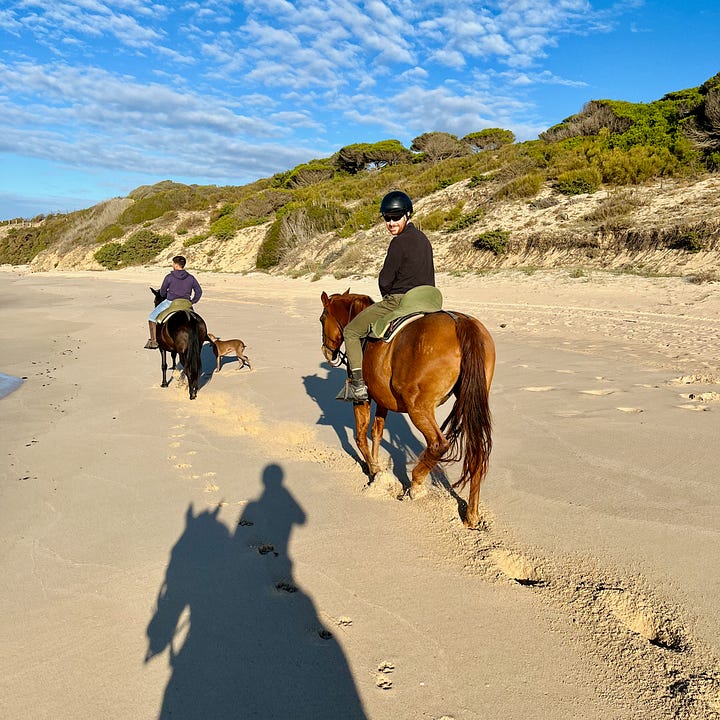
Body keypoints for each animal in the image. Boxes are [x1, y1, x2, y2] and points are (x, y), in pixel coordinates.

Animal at [320, 292, 496, 528]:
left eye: (322, 319)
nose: (326, 352)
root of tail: (460, 322)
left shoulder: (363, 399)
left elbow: (360, 435)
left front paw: (373, 470)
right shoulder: (383, 400)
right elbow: (376, 431)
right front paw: (378, 468)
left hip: (418, 408)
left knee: (439, 444)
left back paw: (415, 485)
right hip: (470, 403)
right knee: (476, 451)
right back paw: (471, 514)